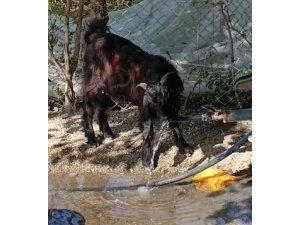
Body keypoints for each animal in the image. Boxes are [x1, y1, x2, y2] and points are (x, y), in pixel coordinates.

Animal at [82, 16, 192, 169]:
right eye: (151, 102)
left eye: (168, 98)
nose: (164, 119)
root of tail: (94, 36)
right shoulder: (144, 105)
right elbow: (148, 130)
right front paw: (146, 160)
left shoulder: (172, 106)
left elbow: (176, 125)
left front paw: (185, 148)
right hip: (92, 85)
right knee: (88, 110)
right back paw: (92, 139)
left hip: (105, 88)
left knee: (100, 110)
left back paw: (108, 134)